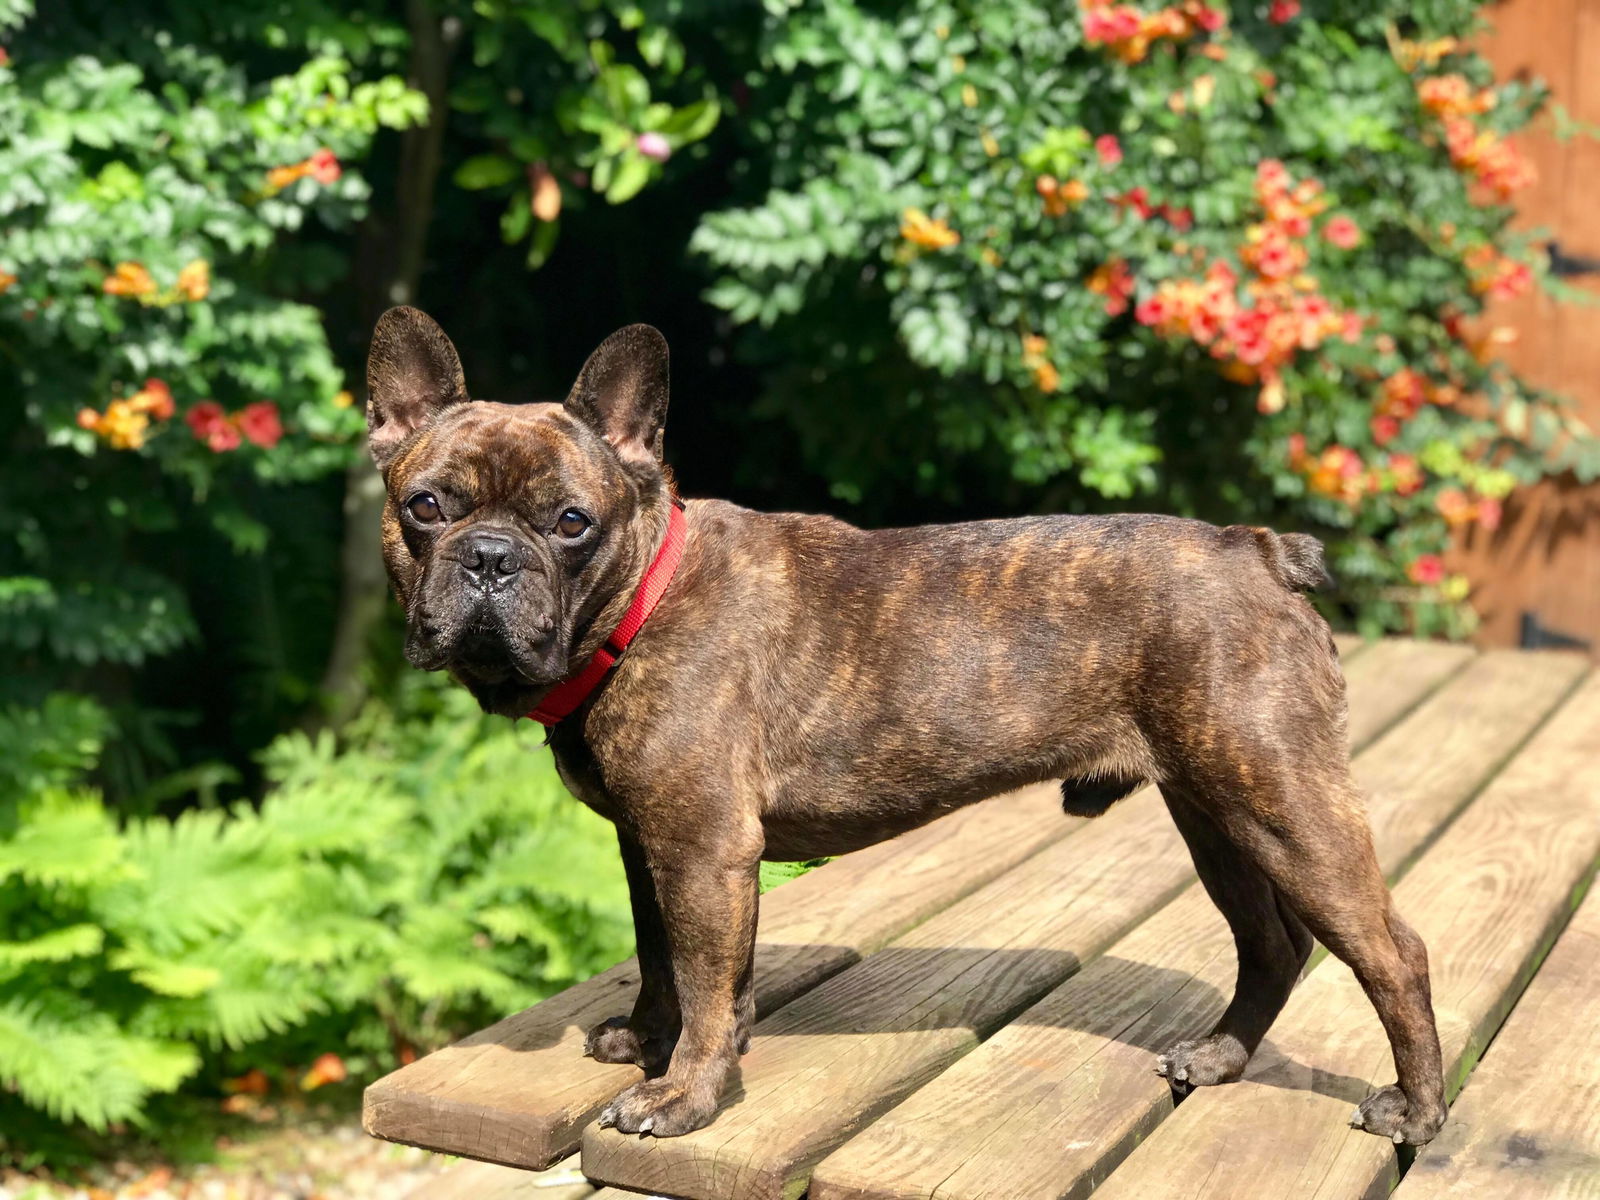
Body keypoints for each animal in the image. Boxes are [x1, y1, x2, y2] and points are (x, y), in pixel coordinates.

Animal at [363, 307, 1452, 1145]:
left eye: (571, 524)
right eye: (426, 507)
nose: (490, 557)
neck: (639, 605)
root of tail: (1255, 551)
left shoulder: (704, 849)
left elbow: (708, 977)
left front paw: (683, 1094)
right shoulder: (653, 845)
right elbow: (664, 955)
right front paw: (648, 1038)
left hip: (1283, 806)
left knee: (1391, 951)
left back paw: (1416, 1110)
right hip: (1215, 811)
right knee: (1270, 945)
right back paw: (1222, 1056)